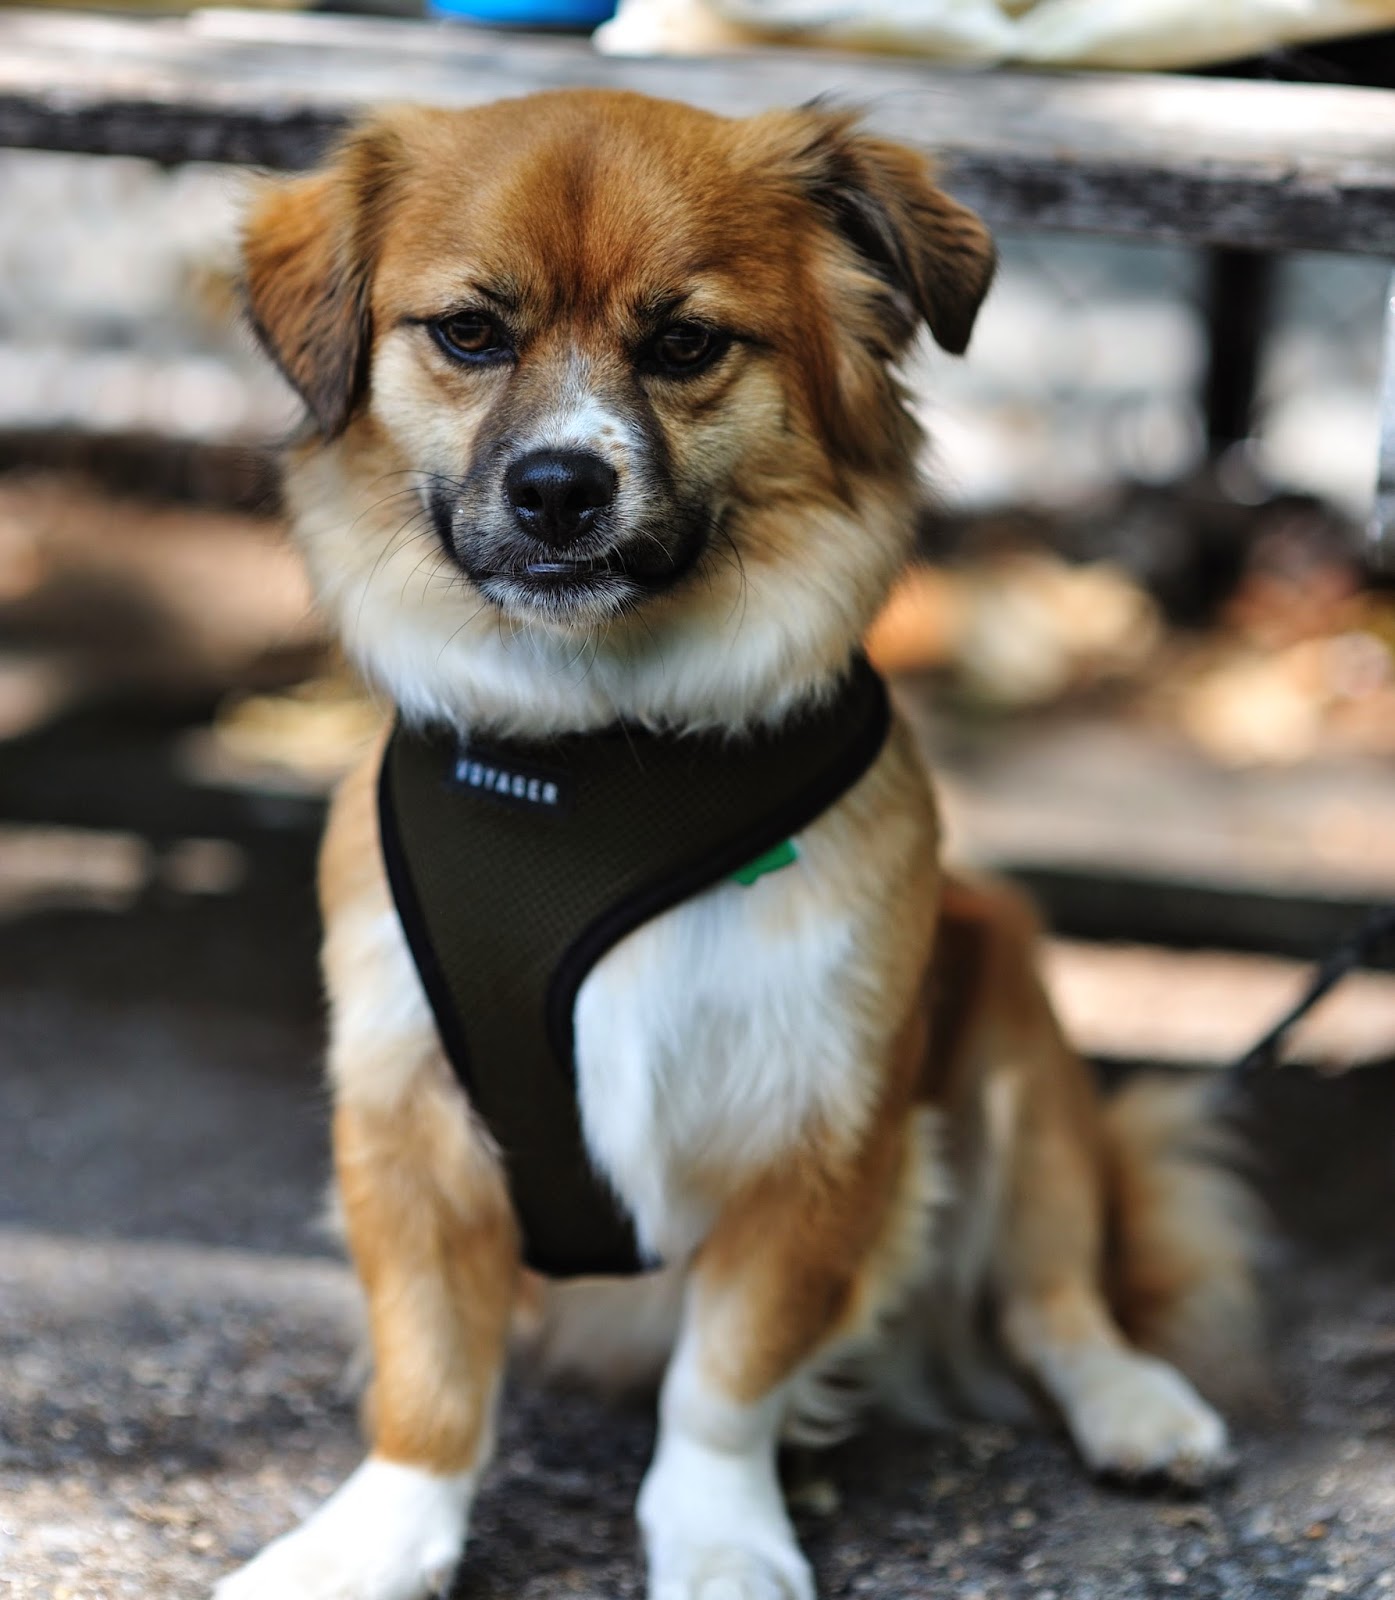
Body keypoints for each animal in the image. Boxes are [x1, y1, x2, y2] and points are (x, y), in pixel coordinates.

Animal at [219, 89, 1259, 1600]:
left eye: (683, 344)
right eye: (469, 333)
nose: (558, 488)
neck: (597, 751)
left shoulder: (819, 1125)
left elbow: (725, 1377)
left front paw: (716, 1536)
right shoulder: (405, 1114)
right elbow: (428, 1373)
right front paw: (374, 1538)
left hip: (1020, 1052)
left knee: (1055, 1299)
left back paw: (1136, 1408)